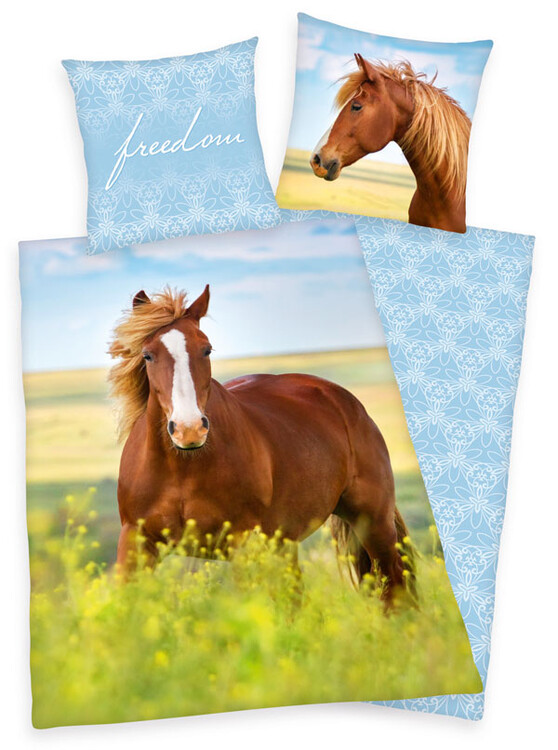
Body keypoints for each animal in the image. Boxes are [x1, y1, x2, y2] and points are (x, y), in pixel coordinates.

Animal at [108, 285, 415, 602]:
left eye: (206, 349)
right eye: (147, 355)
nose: (189, 429)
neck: (183, 467)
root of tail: (342, 399)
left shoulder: (242, 544)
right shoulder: (135, 542)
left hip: (374, 523)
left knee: (395, 587)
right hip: (287, 542)